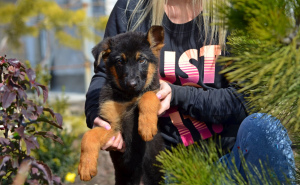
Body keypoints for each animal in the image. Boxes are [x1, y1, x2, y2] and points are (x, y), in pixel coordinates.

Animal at [78, 25, 165, 184]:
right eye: (119, 61)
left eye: (142, 60)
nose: (132, 84)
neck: (128, 96)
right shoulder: (112, 126)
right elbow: (88, 136)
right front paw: (86, 167)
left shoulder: (156, 91)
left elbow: (147, 96)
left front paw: (146, 126)